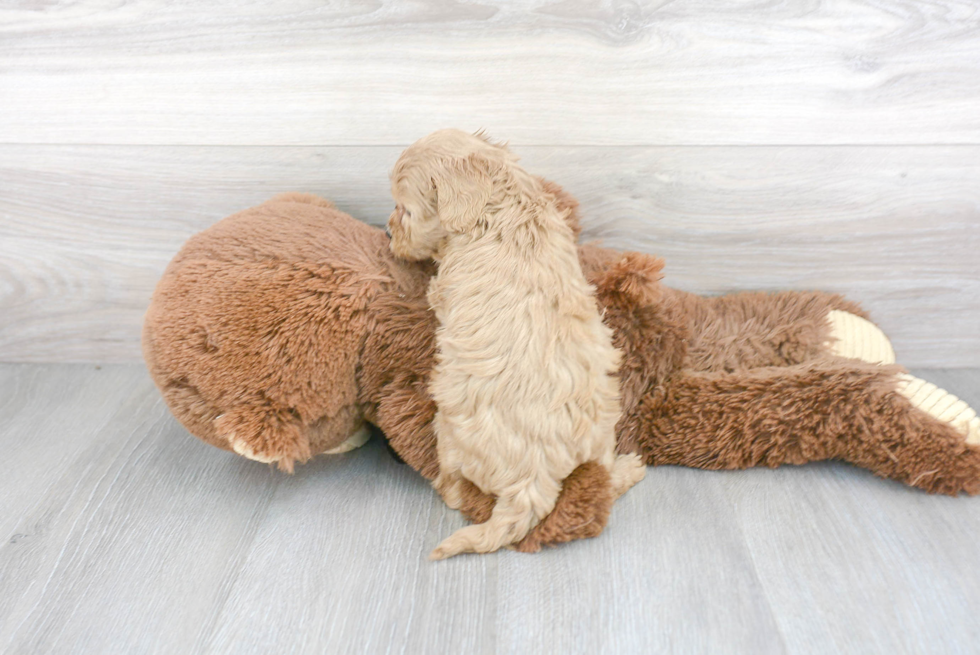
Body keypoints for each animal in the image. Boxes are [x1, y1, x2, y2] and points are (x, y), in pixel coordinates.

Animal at [386, 129, 648, 560]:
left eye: (405, 210)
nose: (389, 232)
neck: (503, 205)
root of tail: (533, 483)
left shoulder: (445, 285)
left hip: (449, 429)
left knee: (454, 488)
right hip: (601, 432)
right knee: (603, 478)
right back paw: (629, 469)